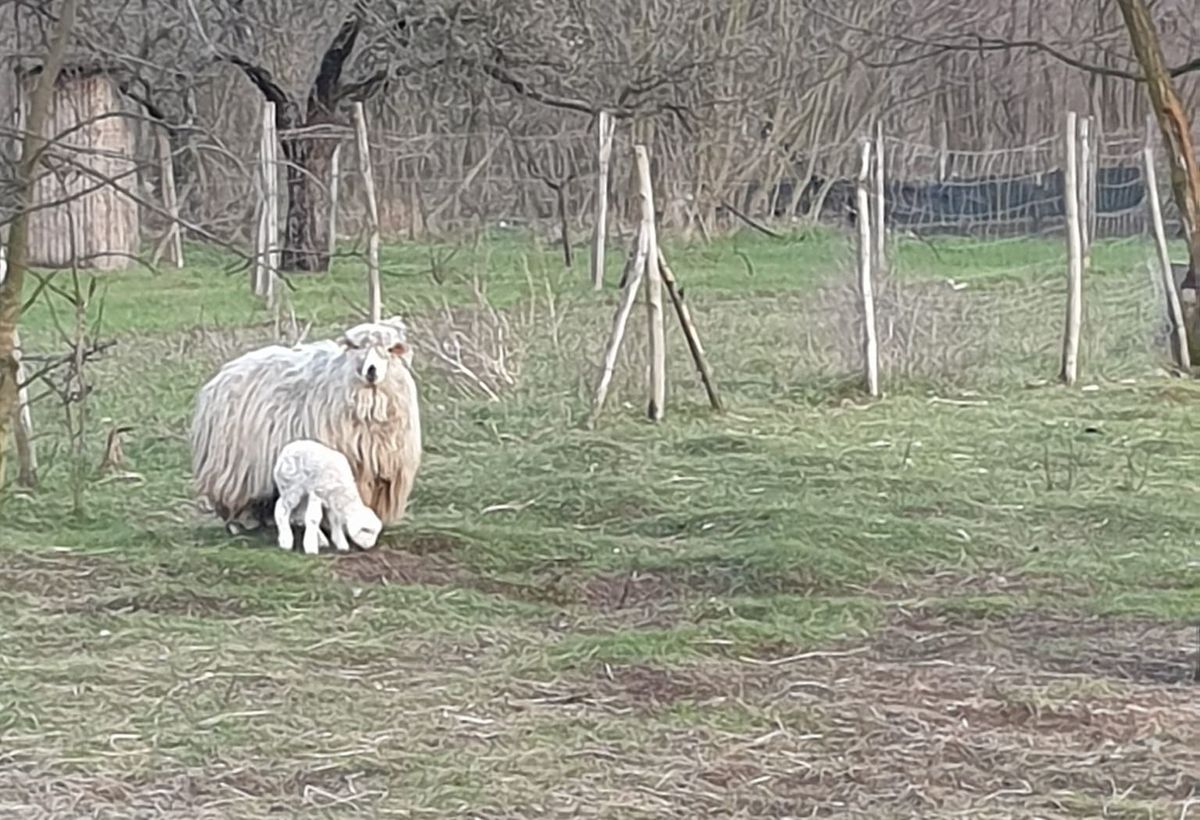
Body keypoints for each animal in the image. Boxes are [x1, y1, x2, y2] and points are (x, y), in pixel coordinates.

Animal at [190, 316, 422, 535]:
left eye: (390, 350)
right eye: (357, 347)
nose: (371, 371)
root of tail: (224, 372)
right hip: (234, 464)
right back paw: (241, 524)